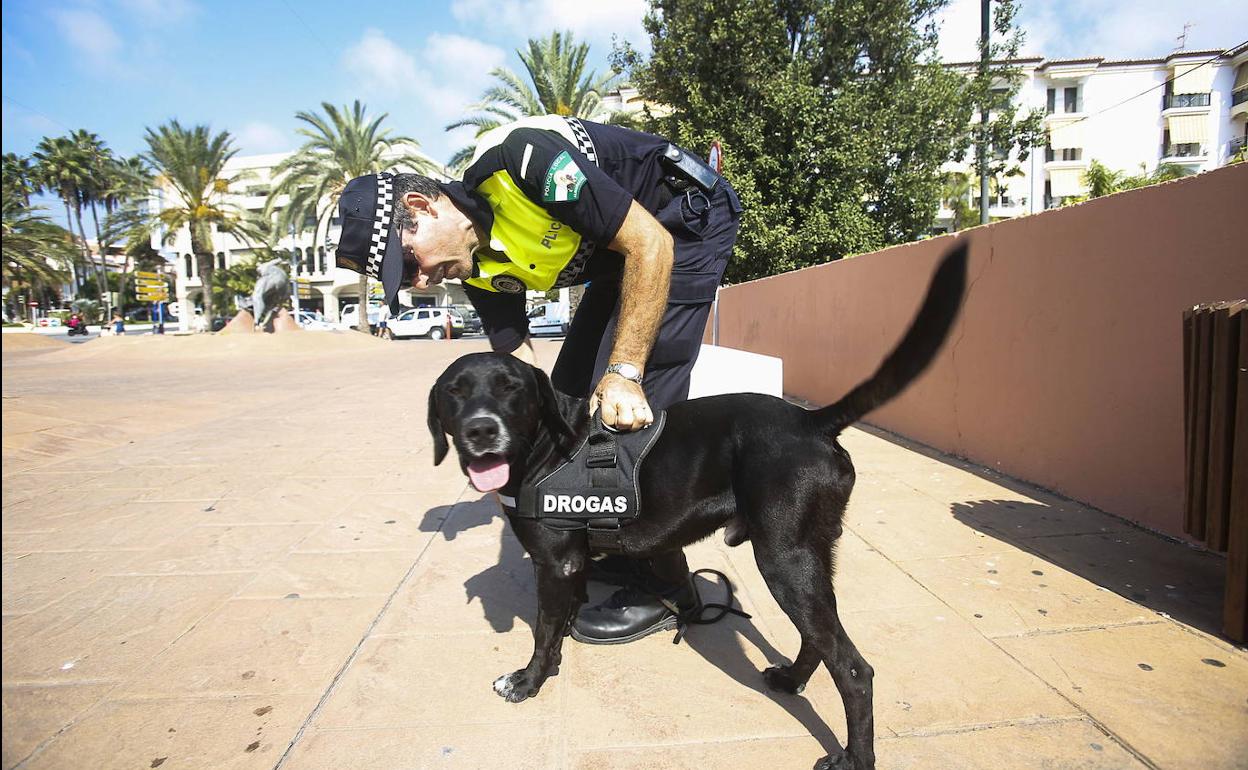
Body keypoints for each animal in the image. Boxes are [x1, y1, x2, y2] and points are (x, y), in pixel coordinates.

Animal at [424, 243, 968, 763]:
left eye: (511, 390)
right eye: (454, 393)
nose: (480, 431)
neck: (548, 443)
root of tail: (812, 422)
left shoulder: (556, 564)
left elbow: (543, 630)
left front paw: (529, 680)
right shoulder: (571, 564)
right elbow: (560, 624)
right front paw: (552, 665)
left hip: (784, 559)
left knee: (854, 669)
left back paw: (854, 757)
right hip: (812, 557)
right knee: (820, 638)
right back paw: (792, 680)